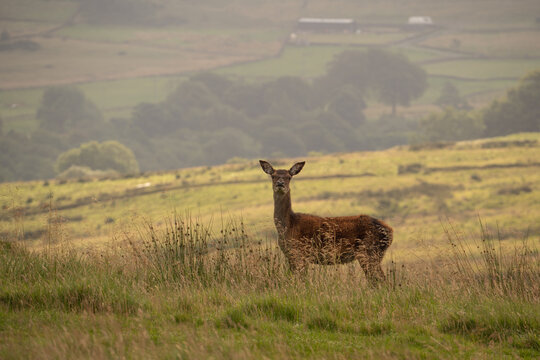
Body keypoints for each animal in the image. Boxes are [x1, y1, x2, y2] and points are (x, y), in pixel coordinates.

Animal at [258, 160, 392, 284]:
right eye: (273, 176)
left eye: (289, 177)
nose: (280, 184)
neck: (289, 225)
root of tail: (390, 232)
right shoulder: (292, 256)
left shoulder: (300, 254)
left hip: (369, 252)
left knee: (380, 280)